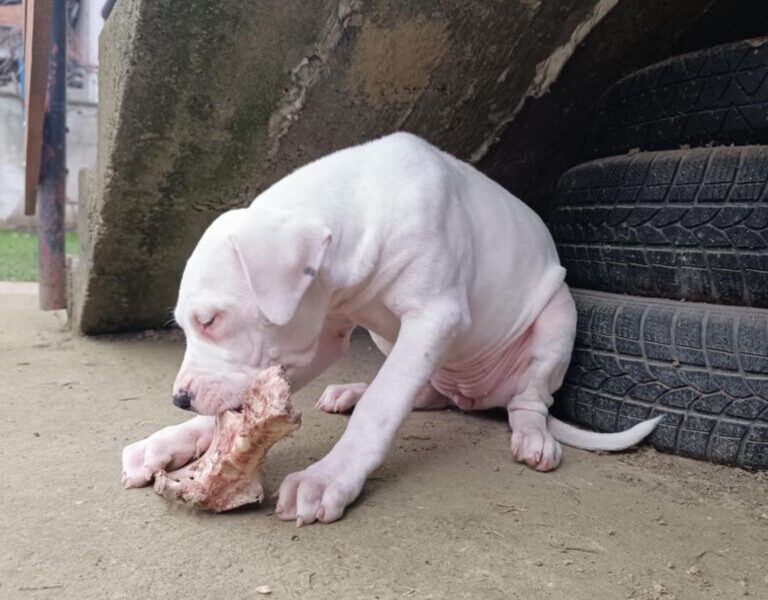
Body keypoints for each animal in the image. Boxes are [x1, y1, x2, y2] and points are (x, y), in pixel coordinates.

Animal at [123, 132, 664, 524]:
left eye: (210, 320)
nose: (180, 398)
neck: (363, 200)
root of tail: (477, 396)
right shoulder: (323, 334)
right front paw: (167, 442)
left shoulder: (434, 317)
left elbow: (383, 407)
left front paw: (328, 478)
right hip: (398, 344)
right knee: (428, 392)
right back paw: (353, 391)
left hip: (557, 317)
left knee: (528, 399)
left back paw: (532, 436)